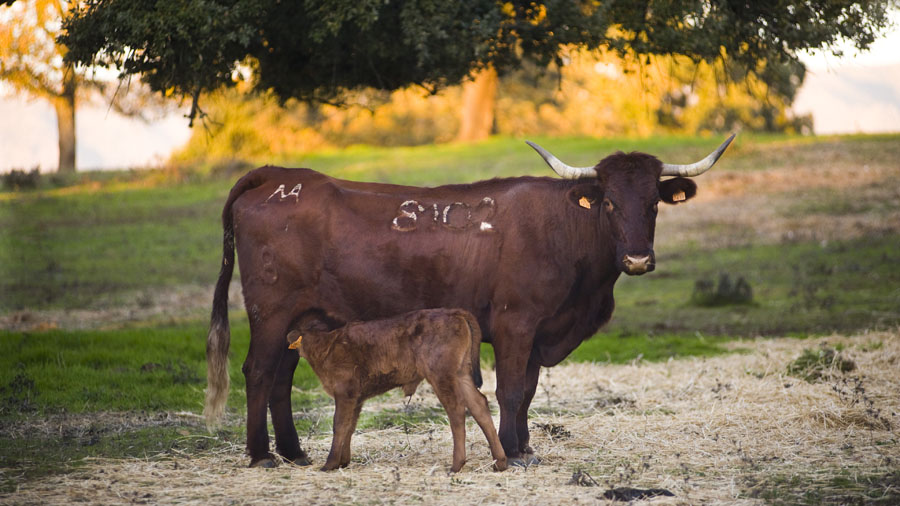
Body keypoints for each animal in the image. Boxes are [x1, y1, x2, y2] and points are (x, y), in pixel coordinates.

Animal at [284, 308, 506, 474]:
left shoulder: (345, 392)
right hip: (461, 373)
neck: (326, 345)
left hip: (441, 375)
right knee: (479, 404)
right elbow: (350, 426)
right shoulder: (356, 397)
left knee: (457, 410)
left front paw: (329, 464)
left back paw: (456, 465)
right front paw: (343, 461)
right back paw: (499, 462)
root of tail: (454, 312)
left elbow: (339, 425)